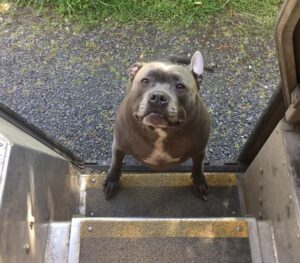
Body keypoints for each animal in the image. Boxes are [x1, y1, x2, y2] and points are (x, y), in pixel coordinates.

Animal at [104, 50, 210, 201]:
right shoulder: (119, 145)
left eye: (180, 86)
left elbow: (197, 167)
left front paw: (199, 182)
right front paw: (112, 180)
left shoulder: (199, 150)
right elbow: (116, 163)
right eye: (145, 81)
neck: (160, 131)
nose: (158, 97)